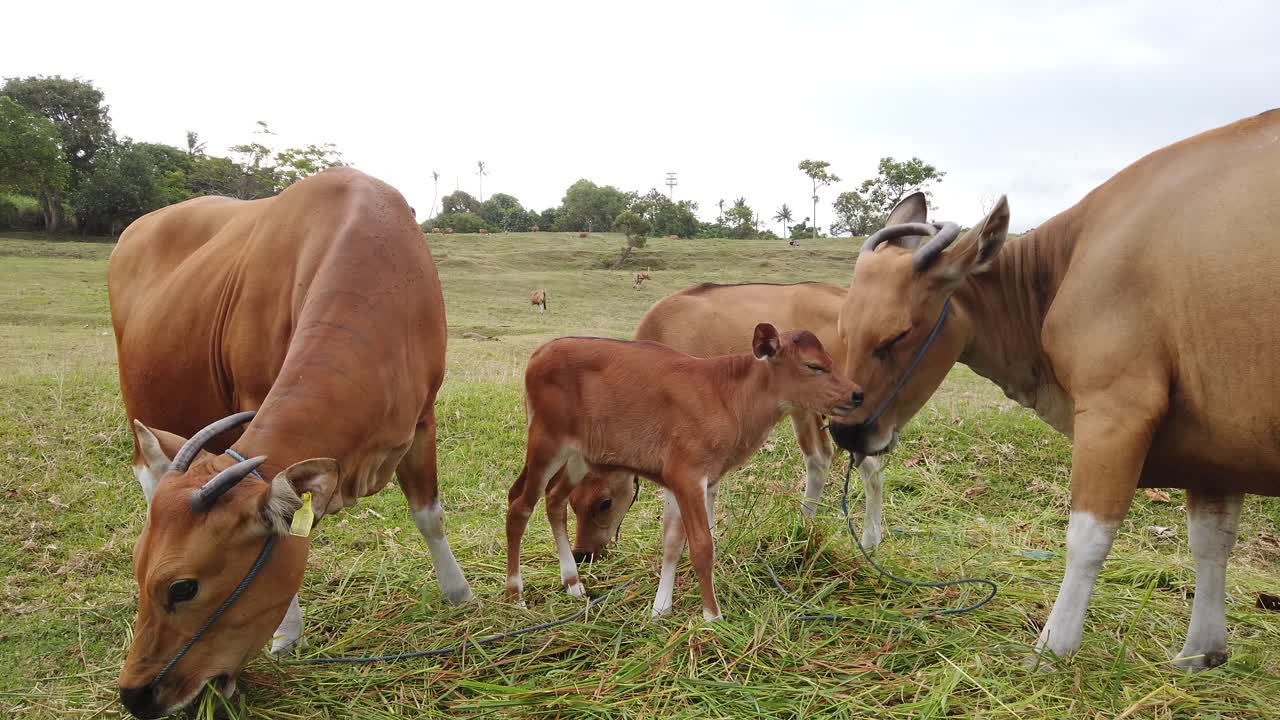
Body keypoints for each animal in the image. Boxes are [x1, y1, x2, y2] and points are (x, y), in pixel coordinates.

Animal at [109, 168, 473, 718]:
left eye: (183, 588)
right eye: (139, 572)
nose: (135, 695)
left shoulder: (423, 417)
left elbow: (429, 514)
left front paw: (459, 595)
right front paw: (288, 633)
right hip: (141, 405)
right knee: (148, 472)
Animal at [505, 325, 862, 619]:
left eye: (830, 358)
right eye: (814, 366)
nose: (857, 393)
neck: (730, 399)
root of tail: (539, 354)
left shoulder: (692, 478)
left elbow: (674, 541)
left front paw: (660, 608)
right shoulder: (687, 474)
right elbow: (702, 545)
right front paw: (712, 617)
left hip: (578, 455)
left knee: (554, 499)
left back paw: (572, 583)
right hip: (546, 440)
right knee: (519, 504)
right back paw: (515, 595)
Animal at [564, 282, 890, 561]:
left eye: (604, 502)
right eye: (571, 501)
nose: (582, 554)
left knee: (869, 464)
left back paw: (870, 539)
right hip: (804, 409)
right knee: (820, 458)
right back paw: (804, 529)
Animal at [829, 109, 1280, 670]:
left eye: (897, 335)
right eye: (842, 327)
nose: (845, 433)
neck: (1069, 261)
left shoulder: (1117, 411)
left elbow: (1088, 536)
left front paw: (1053, 647)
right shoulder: (1215, 451)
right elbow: (1211, 540)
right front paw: (1200, 652)